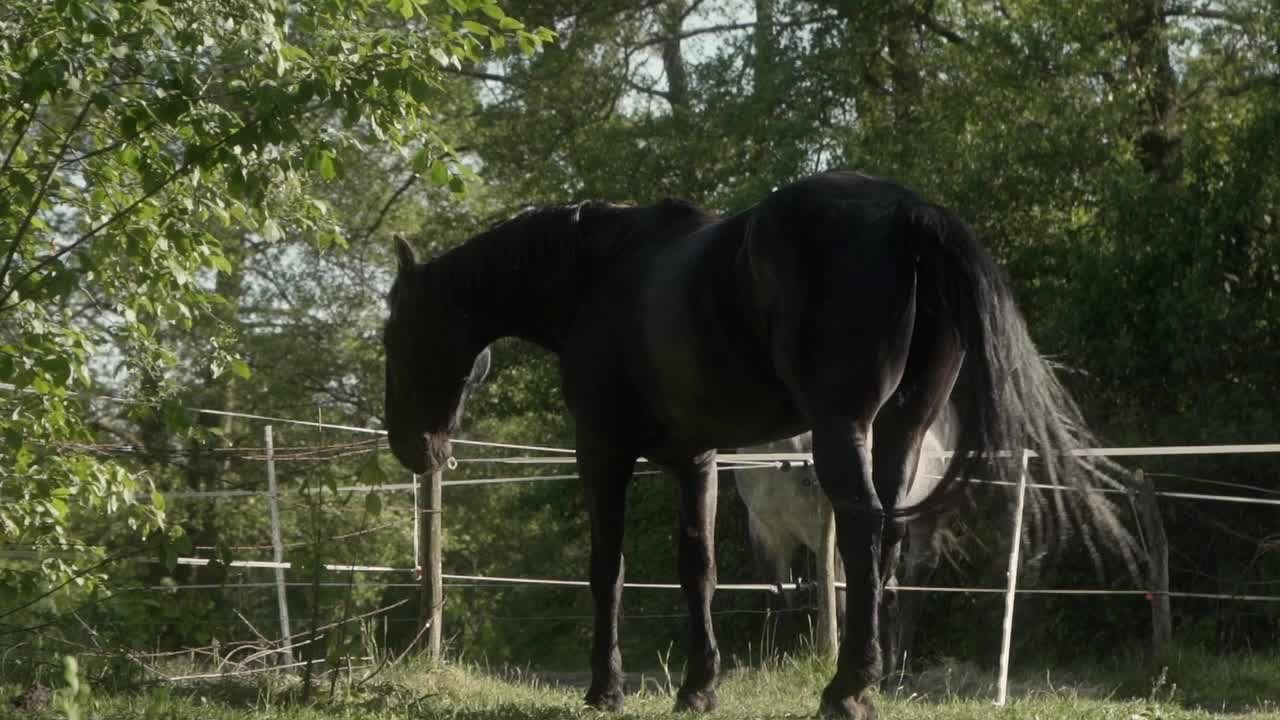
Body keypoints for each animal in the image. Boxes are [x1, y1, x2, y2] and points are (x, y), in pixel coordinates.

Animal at [378, 170, 1131, 712]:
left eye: (394, 335)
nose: (415, 450)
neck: (597, 275)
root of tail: (908, 213)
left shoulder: (604, 452)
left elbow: (607, 569)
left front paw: (606, 689)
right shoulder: (696, 460)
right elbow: (699, 569)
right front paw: (697, 688)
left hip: (843, 430)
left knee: (861, 531)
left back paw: (846, 690)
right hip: (902, 430)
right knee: (885, 538)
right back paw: (868, 682)